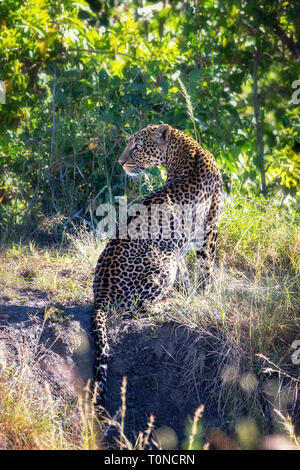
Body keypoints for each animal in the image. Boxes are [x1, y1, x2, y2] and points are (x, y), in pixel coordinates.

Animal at [91, 124, 225, 408]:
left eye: (137, 147)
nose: (121, 162)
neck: (187, 150)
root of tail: (101, 293)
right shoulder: (208, 230)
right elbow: (206, 269)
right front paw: (206, 295)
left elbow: (192, 273)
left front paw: (195, 292)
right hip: (166, 258)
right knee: (141, 308)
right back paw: (170, 304)